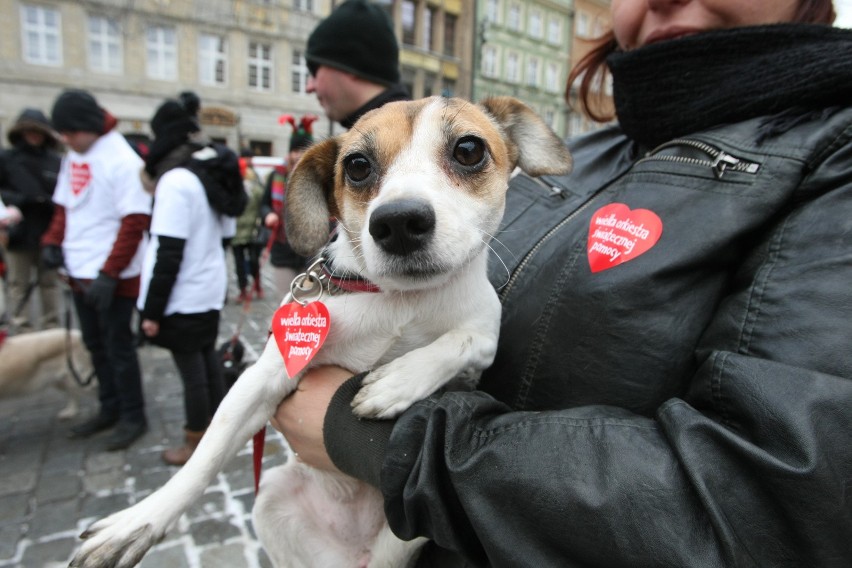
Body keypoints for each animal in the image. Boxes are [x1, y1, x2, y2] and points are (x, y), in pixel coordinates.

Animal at [66, 97, 572, 568]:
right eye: (357, 165)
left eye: (468, 149)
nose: (397, 221)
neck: (400, 301)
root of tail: (355, 552)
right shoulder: (263, 377)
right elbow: (205, 457)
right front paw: (137, 522)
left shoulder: (485, 333)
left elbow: (454, 341)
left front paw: (394, 382)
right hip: (270, 496)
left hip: (410, 534)